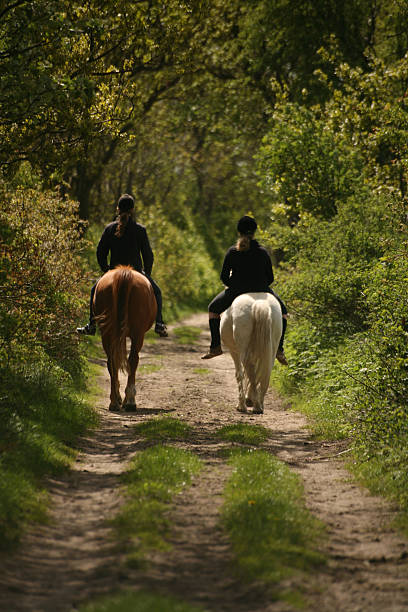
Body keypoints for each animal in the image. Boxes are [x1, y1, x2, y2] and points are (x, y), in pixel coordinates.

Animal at [93, 264, 157, 412]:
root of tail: (124, 273)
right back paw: (130, 401)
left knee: (112, 361)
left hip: (107, 332)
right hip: (138, 334)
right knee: (132, 360)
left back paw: (114, 402)